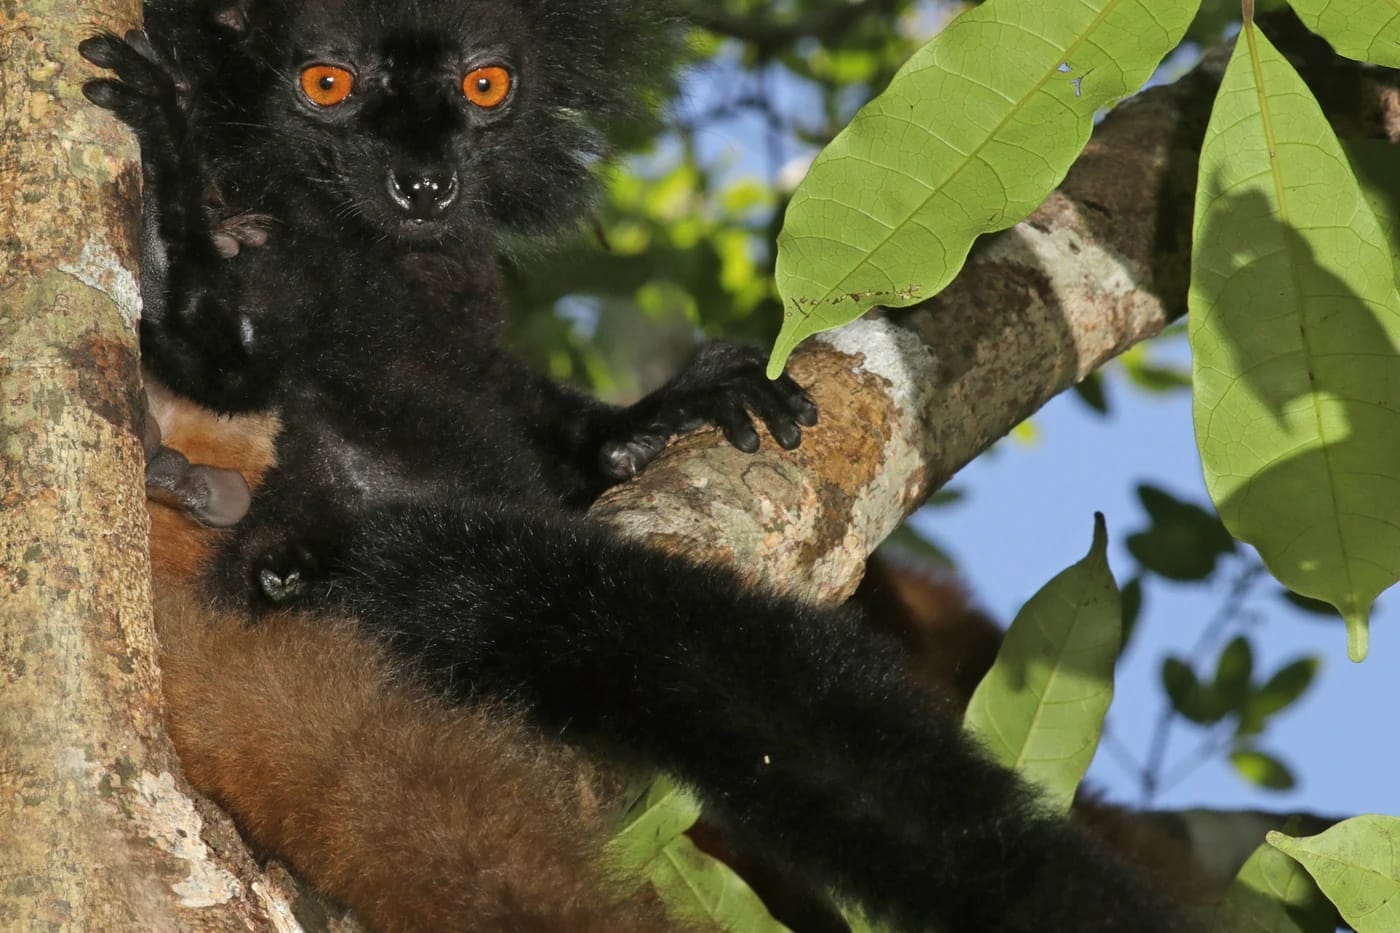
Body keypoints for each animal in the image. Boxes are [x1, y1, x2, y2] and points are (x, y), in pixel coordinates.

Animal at [80, 0, 1204, 928]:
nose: (423, 182)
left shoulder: (436, 282)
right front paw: (174, 170)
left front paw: (657, 418)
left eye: (484, 85)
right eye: (328, 82)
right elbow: (242, 349)